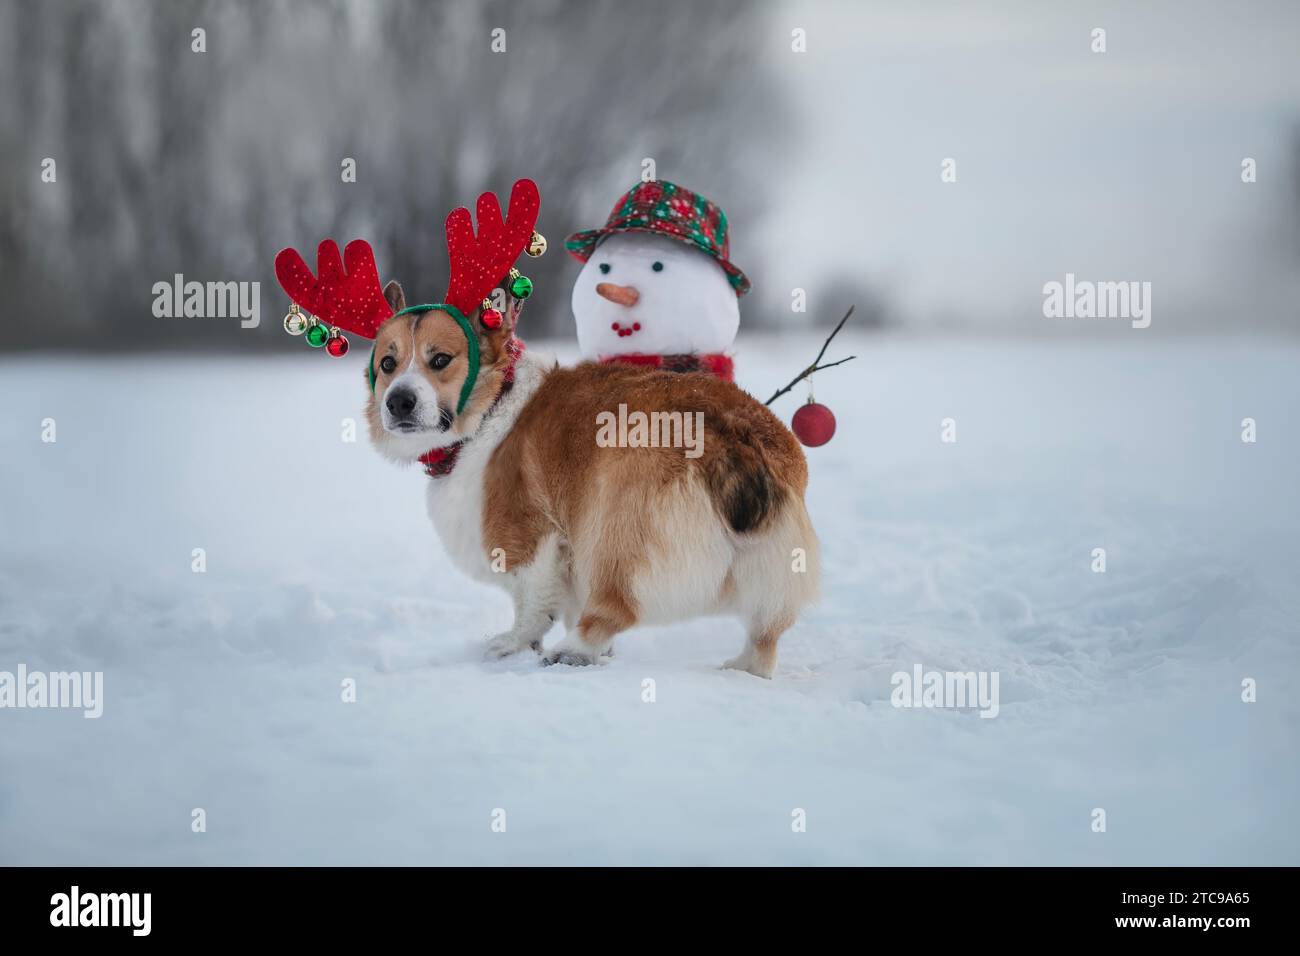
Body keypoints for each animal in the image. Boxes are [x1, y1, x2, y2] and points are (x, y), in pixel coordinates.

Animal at [364, 280, 821, 676]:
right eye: (387, 364)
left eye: (440, 359)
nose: (398, 402)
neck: (493, 406)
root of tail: (731, 432)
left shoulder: (532, 540)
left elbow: (531, 605)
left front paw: (511, 645)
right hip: (771, 571)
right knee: (765, 637)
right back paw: (742, 668)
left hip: (614, 530)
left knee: (614, 607)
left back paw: (573, 651)